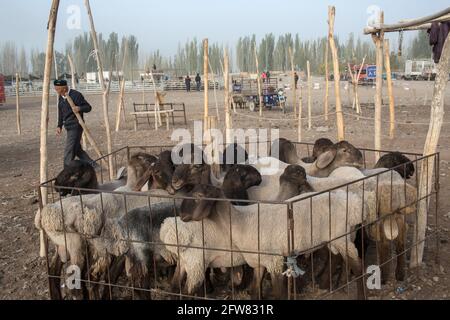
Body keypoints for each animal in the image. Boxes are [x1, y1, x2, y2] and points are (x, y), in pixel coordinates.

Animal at [170, 185, 370, 300]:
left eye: (199, 195)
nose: (182, 215)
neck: (240, 222)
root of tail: (352, 202)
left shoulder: (274, 260)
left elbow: (278, 294)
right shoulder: (258, 262)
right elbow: (255, 291)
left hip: (342, 237)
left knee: (358, 264)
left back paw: (360, 295)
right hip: (334, 238)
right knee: (338, 258)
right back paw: (330, 284)